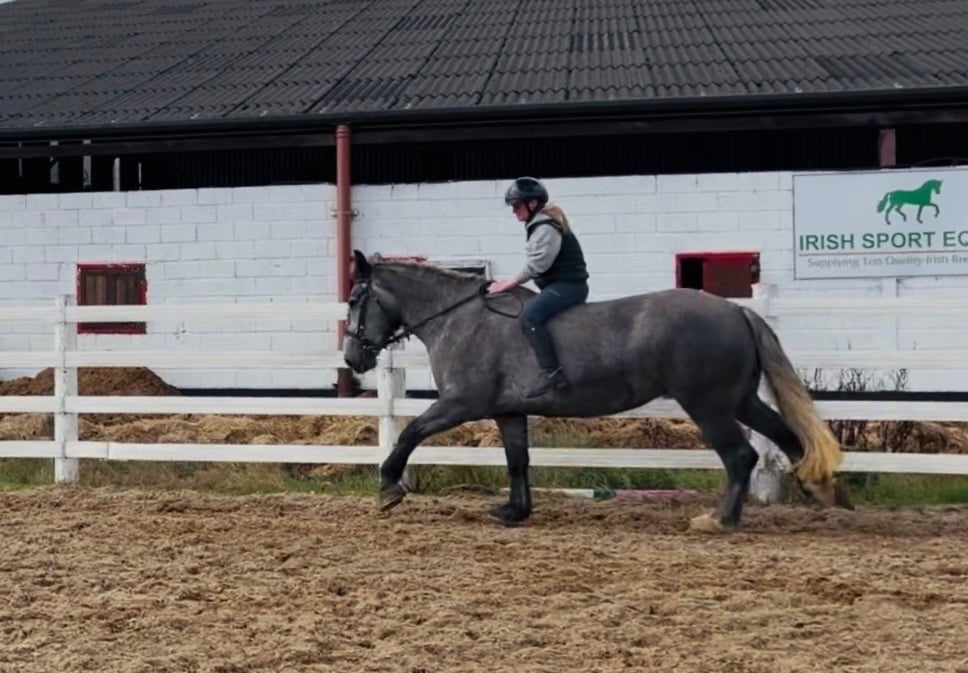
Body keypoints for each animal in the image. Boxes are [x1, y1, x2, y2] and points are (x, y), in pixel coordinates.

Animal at [343, 250, 852, 531]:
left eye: (354, 299)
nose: (352, 359)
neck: (461, 318)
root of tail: (735, 310)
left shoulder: (460, 403)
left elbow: (410, 433)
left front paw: (389, 487)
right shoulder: (507, 411)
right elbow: (517, 460)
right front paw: (515, 511)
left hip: (708, 405)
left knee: (740, 455)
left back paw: (719, 520)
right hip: (740, 400)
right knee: (786, 437)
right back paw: (824, 492)